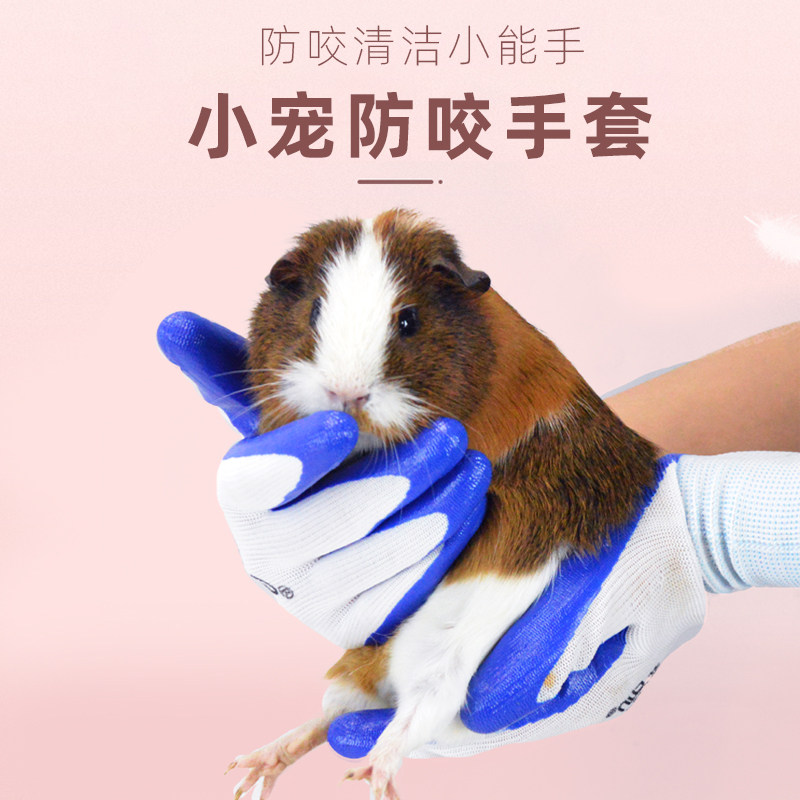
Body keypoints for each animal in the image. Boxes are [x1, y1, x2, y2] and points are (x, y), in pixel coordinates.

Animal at [227, 209, 658, 799]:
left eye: (408, 320)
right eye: (314, 309)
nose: (347, 395)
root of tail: (387, 677)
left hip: (443, 672)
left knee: (404, 723)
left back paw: (369, 775)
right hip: (359, 669)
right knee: (325, 719)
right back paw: (254, 770)